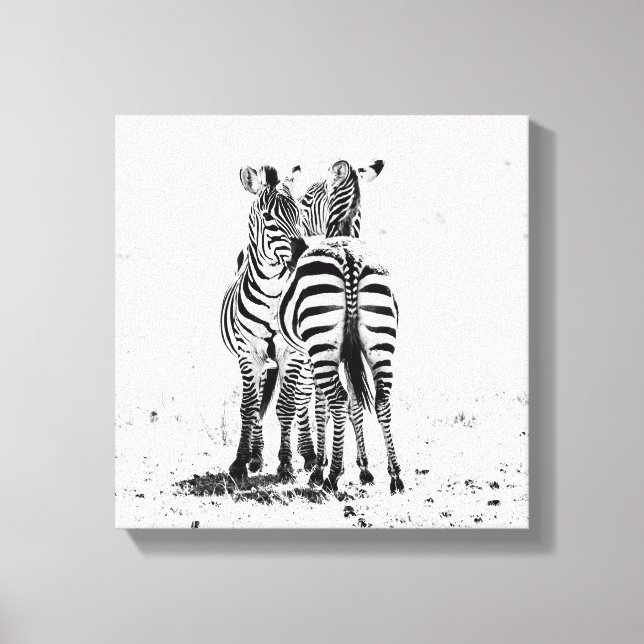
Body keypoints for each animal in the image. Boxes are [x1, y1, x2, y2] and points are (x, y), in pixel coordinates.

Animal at [220, 164, 316, 484]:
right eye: (268, 217)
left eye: (299, 214)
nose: (302, 254)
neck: (273, 293)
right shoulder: (248, 351)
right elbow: (249, 408)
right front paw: (240, 461)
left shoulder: (291, 353)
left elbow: (286, 406)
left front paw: (286, 464)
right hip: (262, 361)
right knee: (260, 400)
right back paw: (257, 455)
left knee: (303, 399)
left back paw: (310, 455)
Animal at [278, 160, 403, 494]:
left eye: (307, 199)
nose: (300, 243)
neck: (343, 232)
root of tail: (349, 257)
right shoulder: (349, 352)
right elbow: (357, 405)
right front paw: (364, 468)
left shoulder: (314, 354)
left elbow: (322, 405)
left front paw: (321, 466)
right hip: (379, 343)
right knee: (381, 399)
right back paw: (396, 475)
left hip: (321, 347)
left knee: (336, 398)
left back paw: (332, 476)